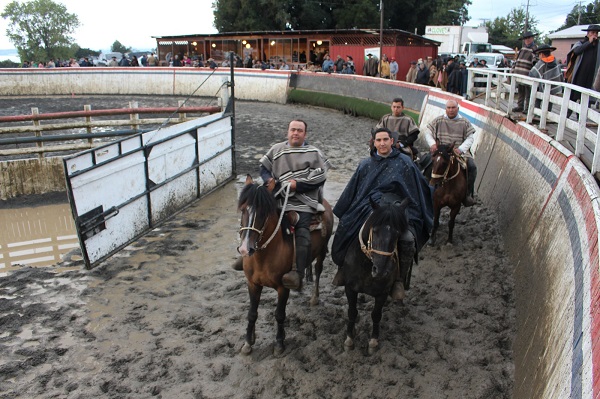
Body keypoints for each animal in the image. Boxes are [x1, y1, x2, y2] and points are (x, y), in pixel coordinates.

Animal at [237, 176, 336, 356]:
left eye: (263, 213)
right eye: (243, 210)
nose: (245, 249)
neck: (264, 256)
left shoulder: (282, 288)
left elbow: (279, 314)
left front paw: (279, 343)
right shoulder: (253, 284)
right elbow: (252, 313)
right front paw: (248, 342)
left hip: (321, 252)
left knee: (318, 270)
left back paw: (314, 297)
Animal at [340, 195, 410, 354]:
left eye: (397, 233)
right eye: (375, 230)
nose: (381, 270)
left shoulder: (382, 293)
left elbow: (376, 315)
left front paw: (373, 342)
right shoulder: (350, 288)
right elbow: (352, 312)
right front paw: (349, 340)